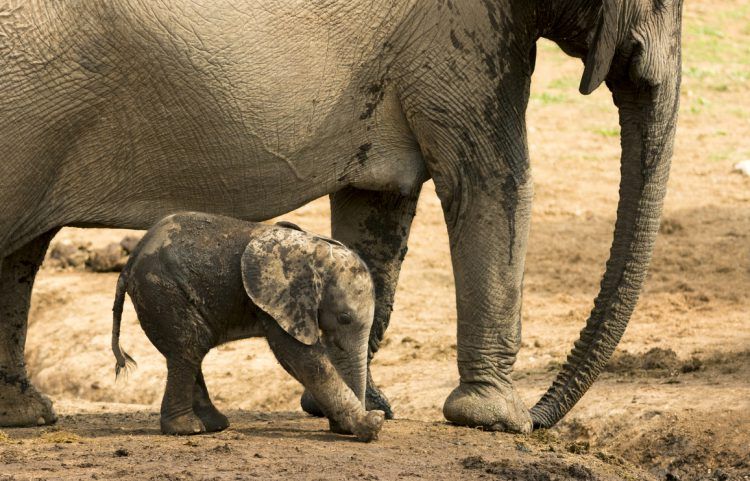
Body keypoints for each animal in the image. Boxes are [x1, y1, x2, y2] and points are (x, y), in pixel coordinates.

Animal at [111, 212, 384, 440]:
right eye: (344, 317)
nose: (341, 429)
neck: (314, 251)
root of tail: (129, 264)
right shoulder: (277, 301)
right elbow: (301, 359)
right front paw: (372, 424)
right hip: (162, 290)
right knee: (188, 348)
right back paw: (189, 429)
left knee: (192, 351)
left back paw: (214, 425)